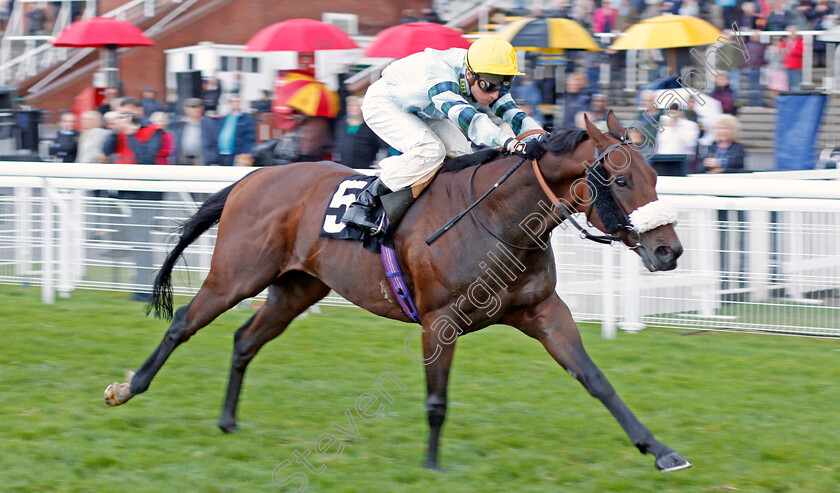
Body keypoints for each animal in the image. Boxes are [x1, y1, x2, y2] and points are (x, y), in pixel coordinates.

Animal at [105, 112, 692, 472]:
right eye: (620, 181)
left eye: (655, 177)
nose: (669, 252)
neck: (499, 219)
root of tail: (253, 177)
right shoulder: (440, 320)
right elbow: (436, 399)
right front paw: (432, 465)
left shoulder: (542, 310)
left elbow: (596, 379)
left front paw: (660, 450)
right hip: (236, 275)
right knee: (184, 322)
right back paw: (127, 388)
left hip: (296, 288)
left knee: (245, 340)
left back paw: (228, 420)